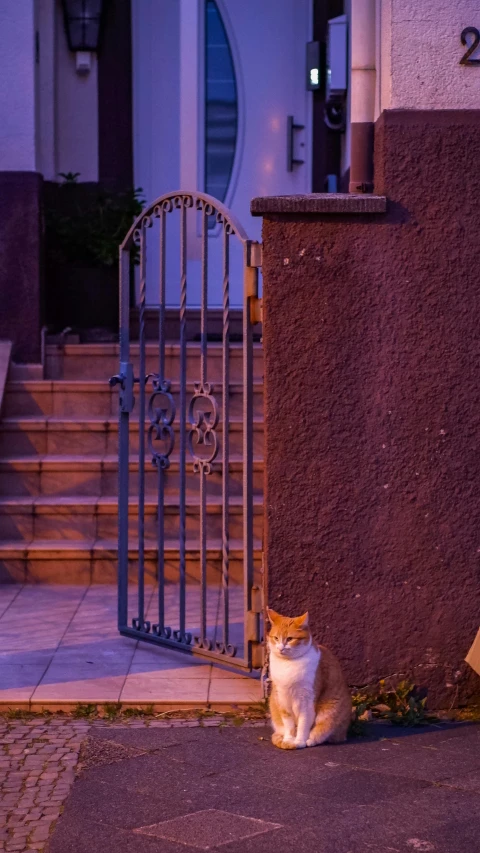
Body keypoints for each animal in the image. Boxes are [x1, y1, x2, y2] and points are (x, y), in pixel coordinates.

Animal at [266, 608, 352, 748]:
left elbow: (303, 724)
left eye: (290, 639)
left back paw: (311, 740)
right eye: (276, 638)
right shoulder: (282, 700)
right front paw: (288, 740)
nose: (280, 648)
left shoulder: (306, 701)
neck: (288, 663)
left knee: (324, 732)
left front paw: (299, 741)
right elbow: (289, 724)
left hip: (330, 712)